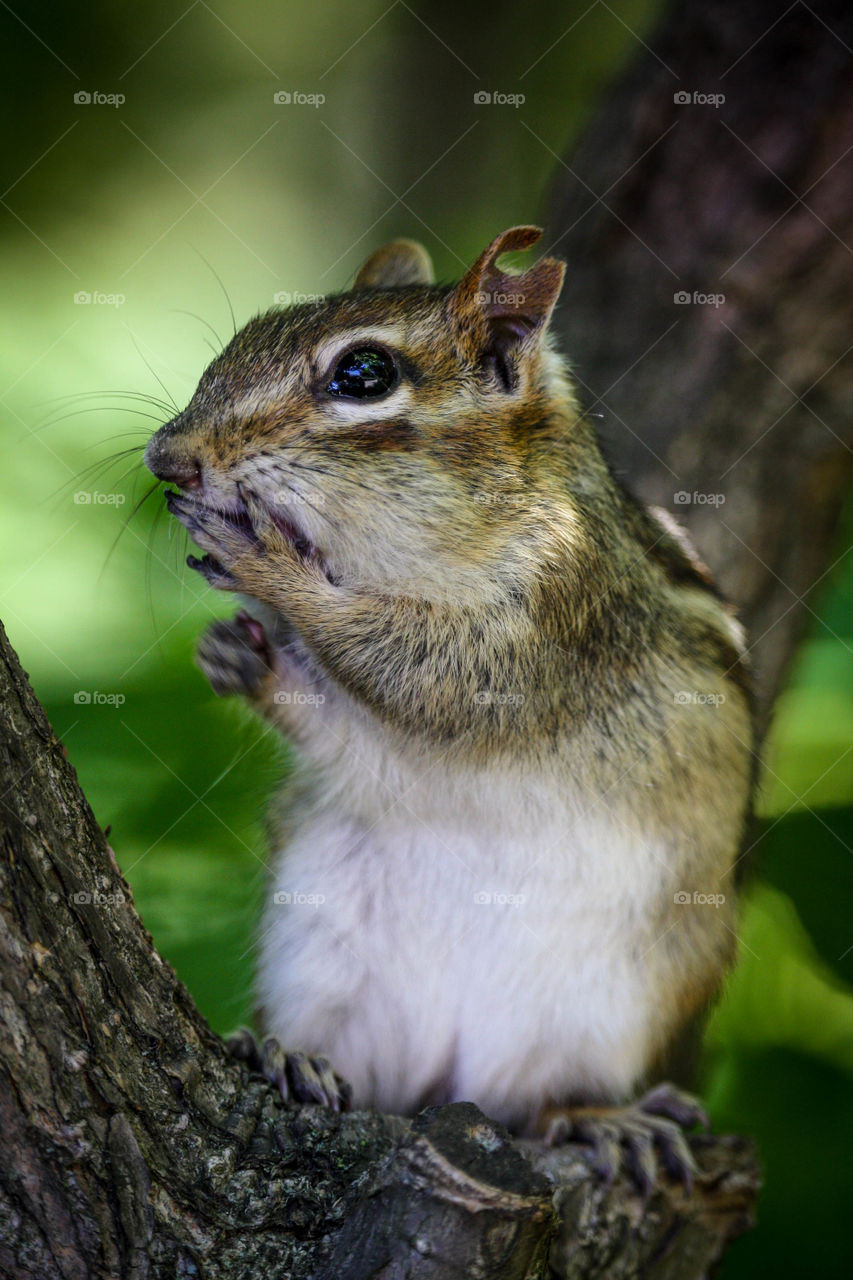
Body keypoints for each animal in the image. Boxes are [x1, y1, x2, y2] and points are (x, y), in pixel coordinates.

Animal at [144, 226, 754, 1189]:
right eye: (246, 335)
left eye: (362, 374)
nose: (167, 458)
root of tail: (447, 1083)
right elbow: (346, 721)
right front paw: (242, 656)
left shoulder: (545, 619)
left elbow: (419, 677)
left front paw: (267, 567)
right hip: (321, 963)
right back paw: (291, 1058)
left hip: (604, 1007)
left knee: (544, 1099)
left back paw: (598, 1119)